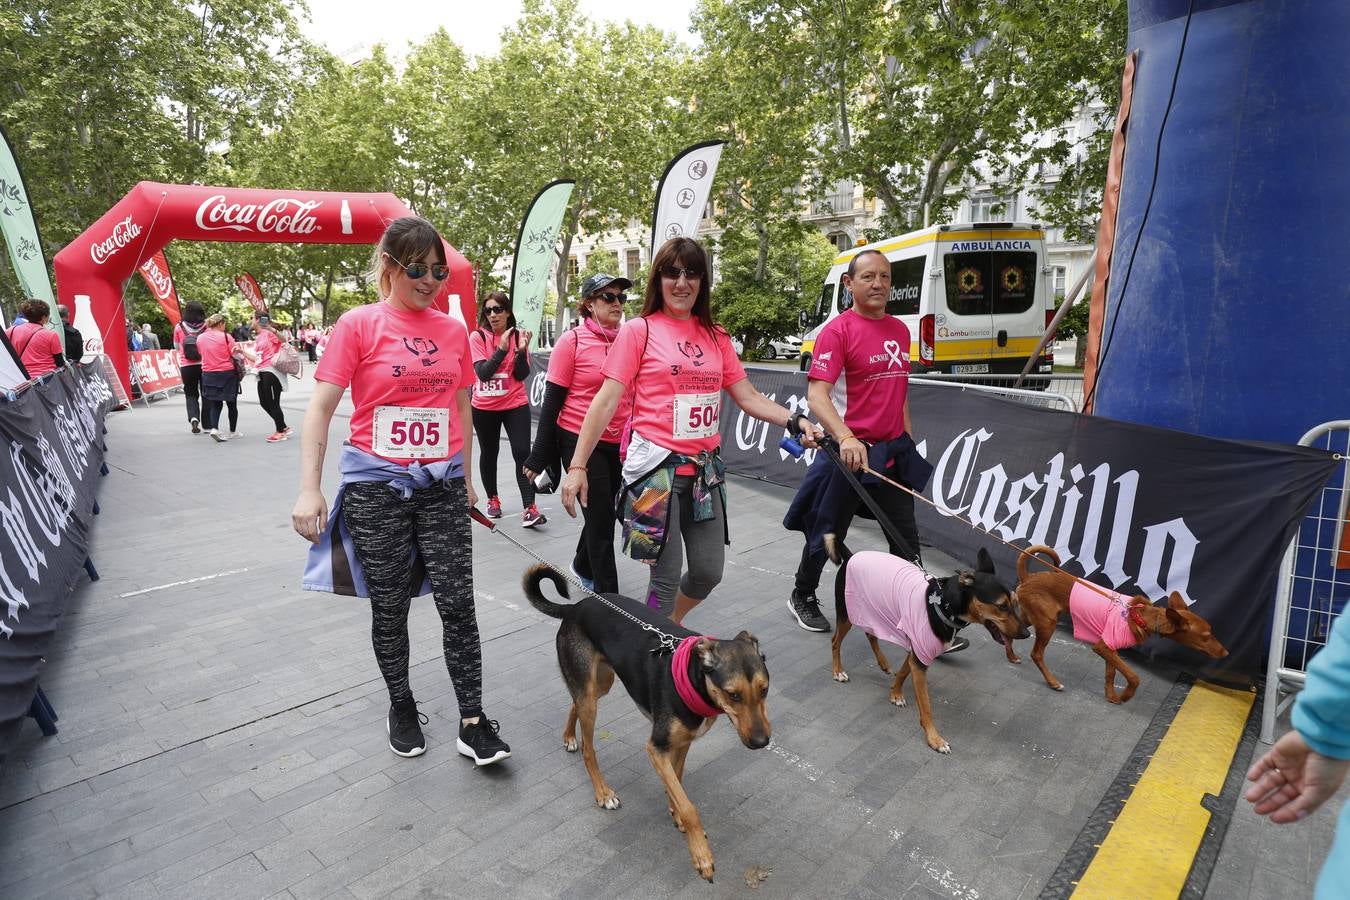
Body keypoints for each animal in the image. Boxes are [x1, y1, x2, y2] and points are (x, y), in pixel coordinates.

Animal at [521, 566, 772, 885]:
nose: (762, 743)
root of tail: (576, 607)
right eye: (733, 695)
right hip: (592, 698)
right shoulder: (656, 748)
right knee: (589, 747)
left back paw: (568, 737)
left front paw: (675, 813)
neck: (694, 680)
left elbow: (677, 782)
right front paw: (701, 855)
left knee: (574, 702)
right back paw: (603, 793)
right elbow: (689, 806)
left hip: (599, 683)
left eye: (764, 690)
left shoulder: (682, 742)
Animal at [826, 534, 1026, 755]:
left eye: (1014, 603)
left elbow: (903, 673)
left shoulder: (917, 653)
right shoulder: (920, 658)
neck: (943, 605)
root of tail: (851, 557)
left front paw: (895, 694)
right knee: (835, 641)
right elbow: (926, 706)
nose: (1026, 633)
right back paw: (838, 671)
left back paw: (883, 663)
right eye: (1002, 606)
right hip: (847, 613)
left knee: (871, 634)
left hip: (872, 610)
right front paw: (934, 739)